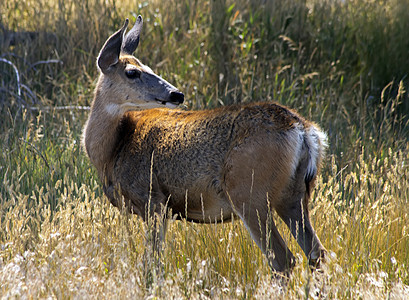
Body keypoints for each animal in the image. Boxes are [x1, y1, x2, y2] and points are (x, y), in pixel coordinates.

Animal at [82, 15, 326, 274]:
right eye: (132, 72)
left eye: (146, 69)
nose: (176, 94)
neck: (114, 148)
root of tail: (303, 130)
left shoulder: (151, 199)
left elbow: (154, 263)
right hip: (294, 196)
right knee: (316, 253)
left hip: (249, 192)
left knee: (283, 259)